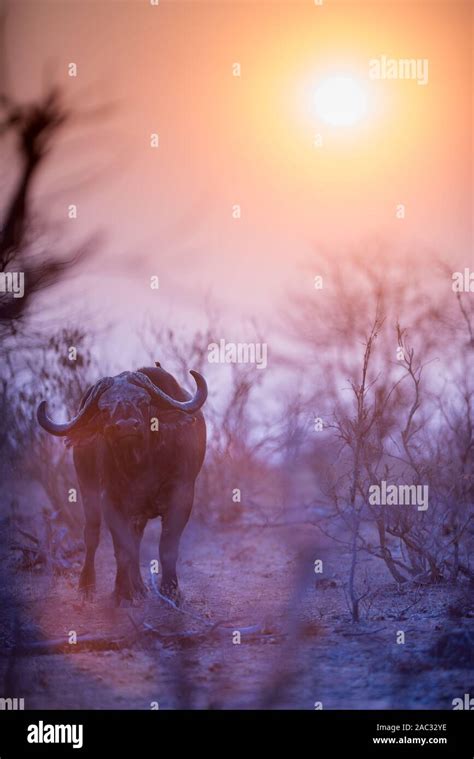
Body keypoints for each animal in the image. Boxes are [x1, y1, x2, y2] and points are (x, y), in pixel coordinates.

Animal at [37, 366, 207, 608]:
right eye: (105, 408)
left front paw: (170, 591)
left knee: (136, 539)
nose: (126, 426)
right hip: (87, 488)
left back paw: (140, 587)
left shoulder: (182, 495)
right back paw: (88, 586)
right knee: (92, 535)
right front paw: (122, 593)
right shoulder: (110, 500)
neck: (141, 465)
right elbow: (122, 548)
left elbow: (167, 546)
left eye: (144, 402)